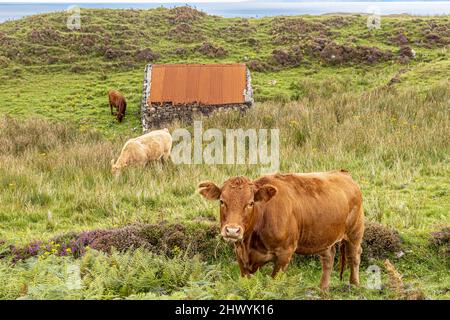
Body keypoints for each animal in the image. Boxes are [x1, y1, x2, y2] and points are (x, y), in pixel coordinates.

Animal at [199, 171, 364, 292]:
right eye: (222, 201)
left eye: (250, 203)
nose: (232, 231)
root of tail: (343, 173)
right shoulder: (240, 256)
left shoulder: (285, 253)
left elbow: (273, 284)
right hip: (324, 236)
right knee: (328, 258)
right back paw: (322, 289)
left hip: (355, 231)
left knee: (354, 255)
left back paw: (354, 286)